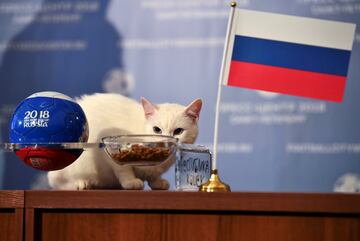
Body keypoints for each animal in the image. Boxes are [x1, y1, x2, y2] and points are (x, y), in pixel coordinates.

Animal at [46, 93, 201, 190]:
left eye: (178, 131)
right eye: (157, 130)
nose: (166, 142)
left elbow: (153, 174)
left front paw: (157, 182)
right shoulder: (109, 146)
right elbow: (124, 169)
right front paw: (130, 182)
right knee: (56, 182)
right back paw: (81, 183)